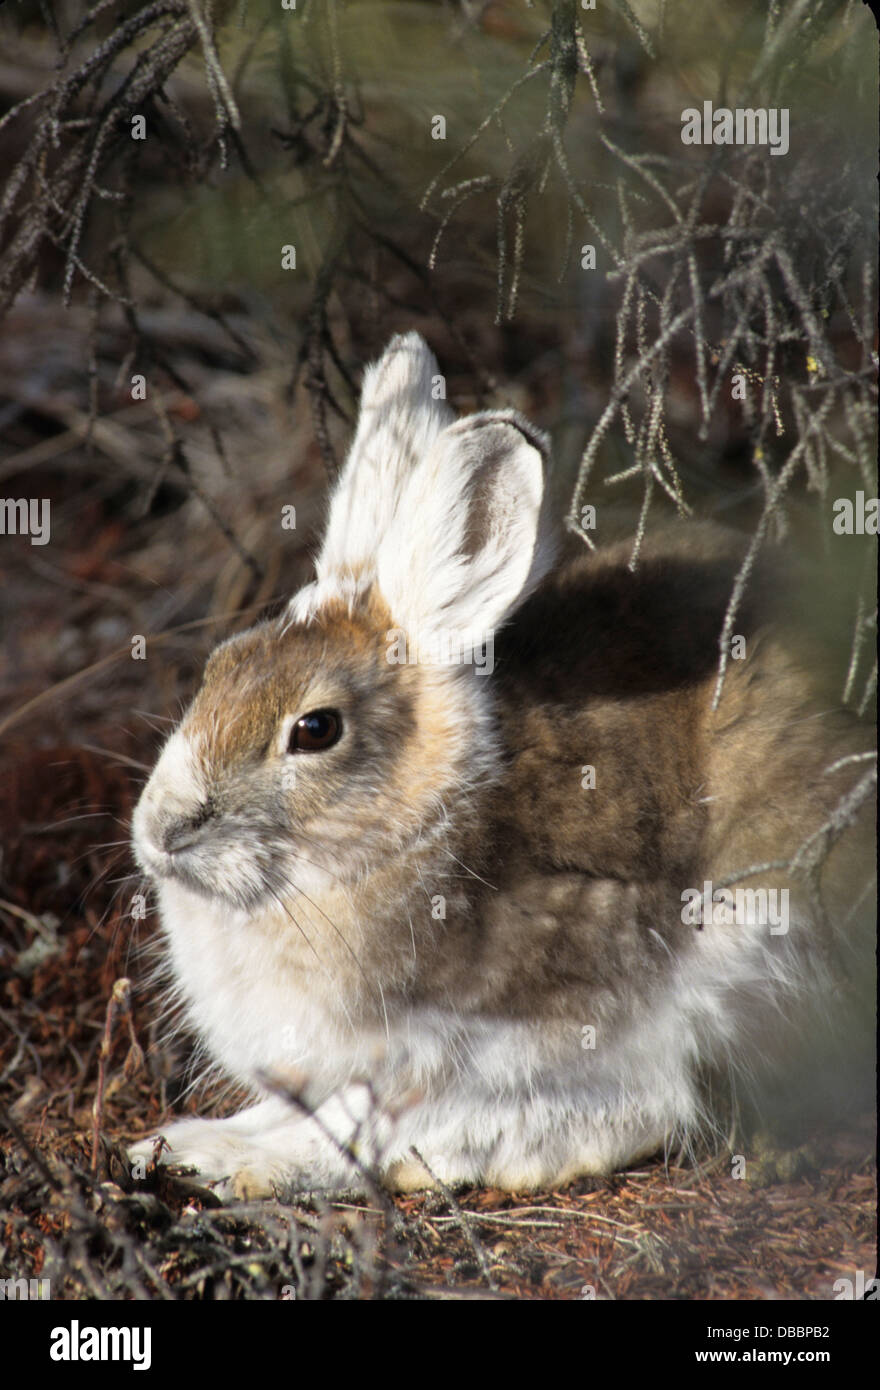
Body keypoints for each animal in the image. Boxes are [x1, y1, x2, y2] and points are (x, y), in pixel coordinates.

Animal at [129, 331, 875, 1201]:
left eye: (315, 730)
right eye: (219, 665)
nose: (162, 832)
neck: (416, 823)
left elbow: (392, 1123)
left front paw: (222, 1158)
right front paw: (182, 1144)